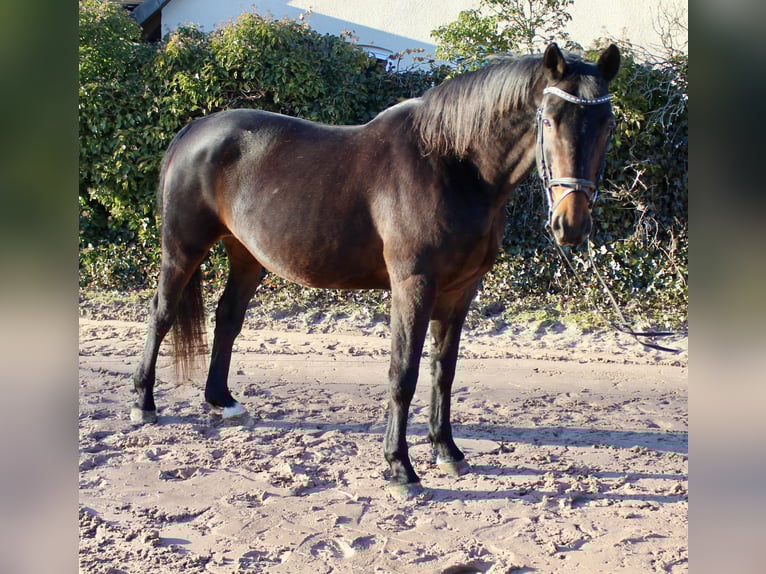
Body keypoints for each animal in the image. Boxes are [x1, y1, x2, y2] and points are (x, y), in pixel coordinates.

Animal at [132, 42, 620, 496]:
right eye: (550, 119)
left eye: (607, 124)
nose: (572, 224)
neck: (450, 164)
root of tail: (195, 130)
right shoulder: (413, 285)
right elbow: (402, 373)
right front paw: (399, 468)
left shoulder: (460, 291)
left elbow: (444, 371)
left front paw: (447, 451)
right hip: (183, 249)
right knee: (162, 314)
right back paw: (144, 403)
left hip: (247, 256)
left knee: (228, 318)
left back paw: (222, 401)